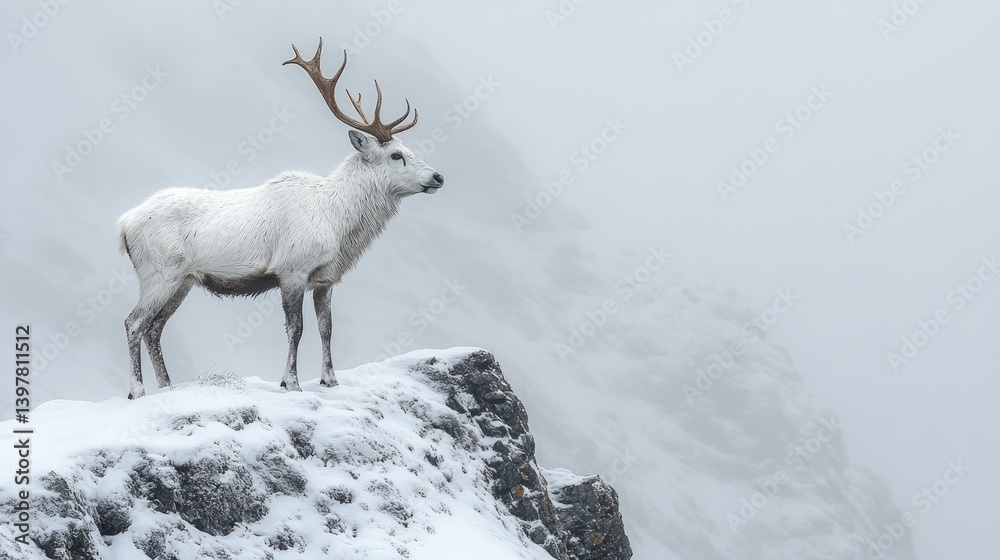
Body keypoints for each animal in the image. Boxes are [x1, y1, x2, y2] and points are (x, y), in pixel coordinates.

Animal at [117, 38, 444, 399]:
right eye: (396, 155)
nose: (438, 177)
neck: (339, 225)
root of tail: (123, 226)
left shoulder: (326, 279)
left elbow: (327, 329)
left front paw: (330, 380)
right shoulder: (292, 269)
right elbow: (296, 328)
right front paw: (291, 382)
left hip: (183, 280)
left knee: (155, 327)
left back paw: (167, 386)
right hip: (158, 273)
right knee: (134, 322)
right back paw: (137, 390)